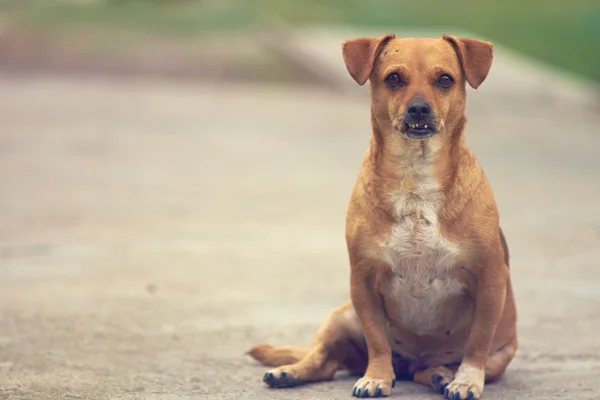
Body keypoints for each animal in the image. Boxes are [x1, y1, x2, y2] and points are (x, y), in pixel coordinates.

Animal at [246, 35, 516, 400]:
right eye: (394, 78)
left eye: (445, 79)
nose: (419, 108)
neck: (415, 180)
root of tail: (412, 363)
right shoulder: (362, 281)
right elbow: (377, 340)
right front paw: (376, 377)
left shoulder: (489, 281)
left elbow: (477, 343)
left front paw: (466, 381)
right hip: (341, 316)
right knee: (323, 359)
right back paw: (290, 371)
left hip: (500, 354)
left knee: (426, 370)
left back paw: (442, 374)